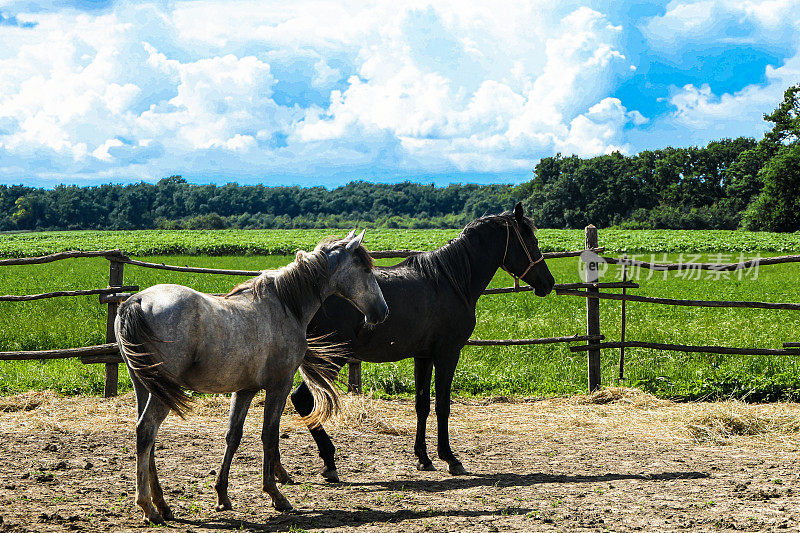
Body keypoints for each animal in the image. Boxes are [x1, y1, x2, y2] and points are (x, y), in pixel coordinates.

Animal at [113, 231, 388, 520]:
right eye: (366, 269)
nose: (382, 311)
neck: (285, 306)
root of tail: (136, 301)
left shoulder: (244, 390)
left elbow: (233, 436)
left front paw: (222, 495)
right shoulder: (279, 385)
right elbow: (269, 434)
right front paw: (276, 494)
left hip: (146, 387)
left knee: (148, 438)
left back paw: (162, 505)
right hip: (161, 391)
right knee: (146, 430)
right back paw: (148, 506)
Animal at [290, 203, 552, 478]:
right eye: (531, 240)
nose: (548, 282)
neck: (451, 281)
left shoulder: (423, 356)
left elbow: (422, 404)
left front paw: (423, 458)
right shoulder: (448, 354)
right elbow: (443, 405)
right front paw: (450, 458)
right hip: (330, 358)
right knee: (303, 400)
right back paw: (329, 461)